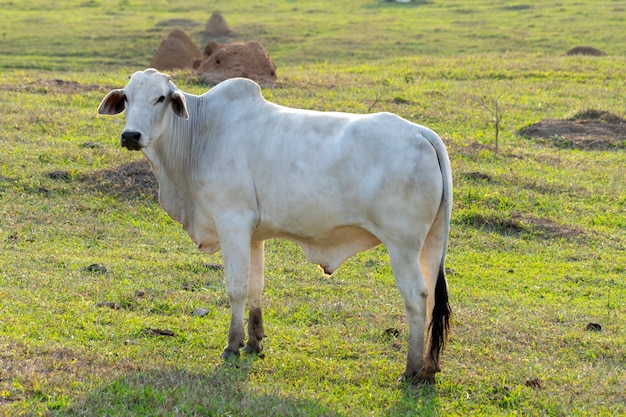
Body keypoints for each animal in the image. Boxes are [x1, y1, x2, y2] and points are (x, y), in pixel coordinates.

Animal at [96, 68, 448, 384]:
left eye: (160, 98)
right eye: (127, 97)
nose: (131, 136)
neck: (202, 132)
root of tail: (422, 133)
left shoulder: (232, 223)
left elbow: (236, 287)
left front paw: (232, 345)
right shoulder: (254, 235)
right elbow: (256, 286)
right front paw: (254, 342)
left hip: (402, 245)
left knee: (416, 296)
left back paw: (411, 369)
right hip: (429, 245)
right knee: (432, 298)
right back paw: (429, 369)